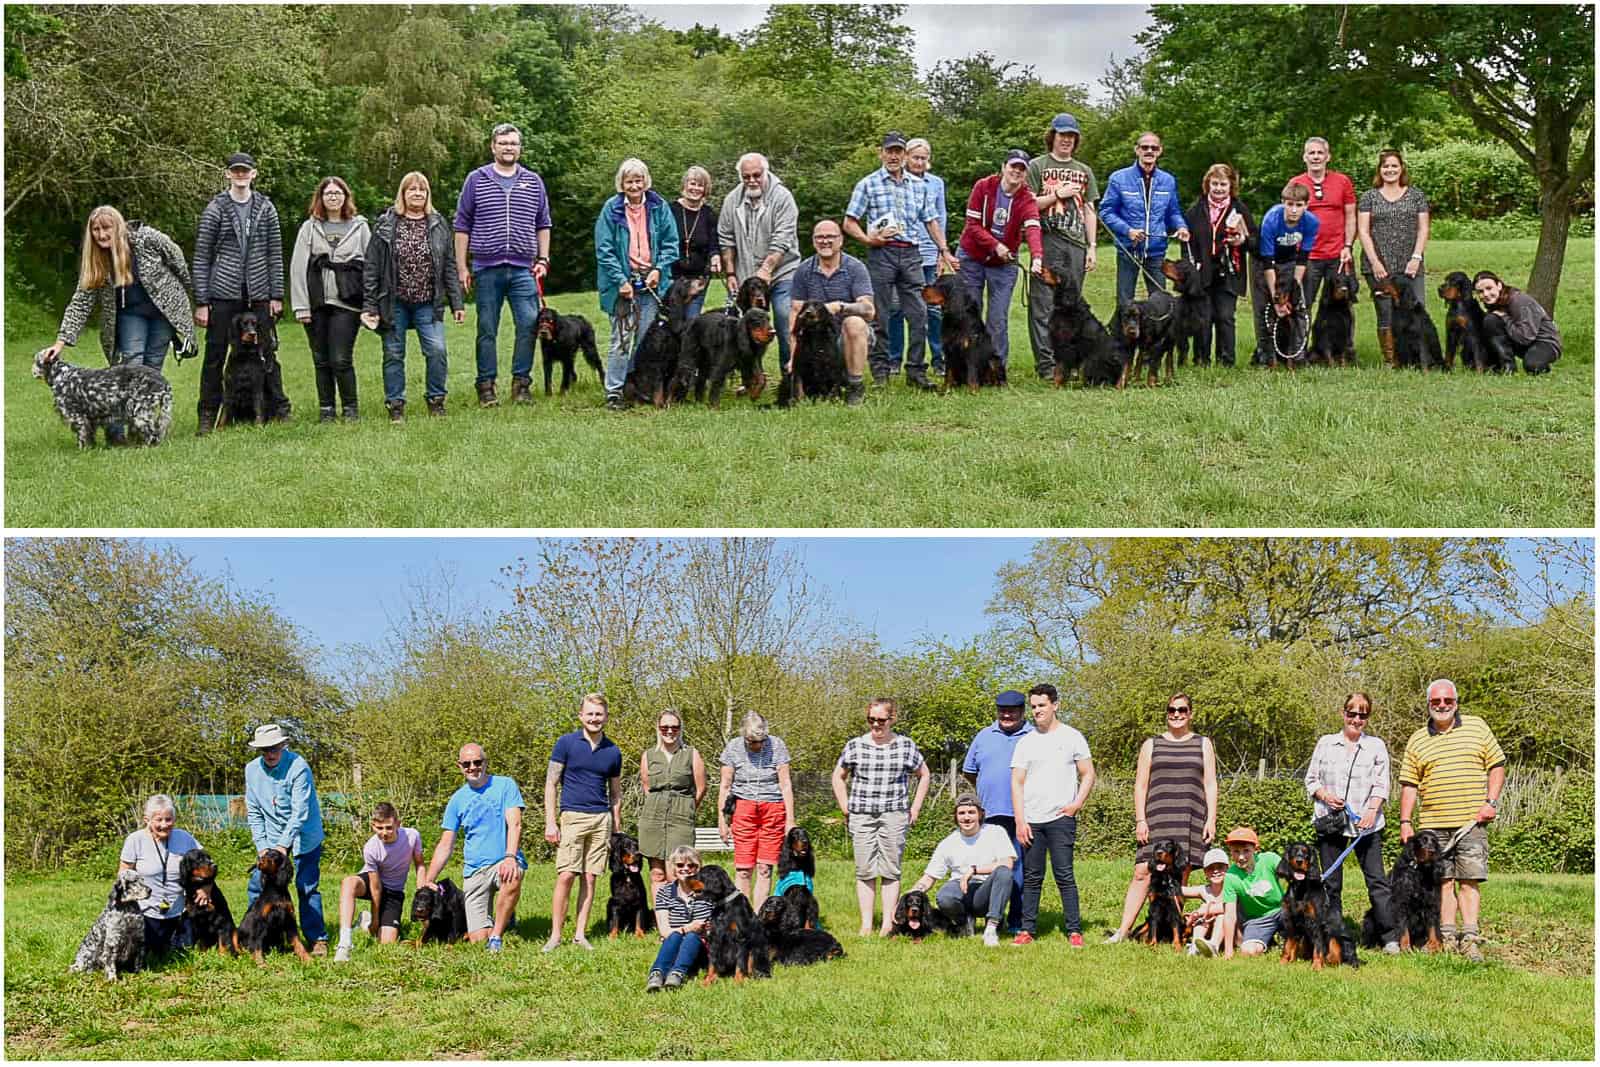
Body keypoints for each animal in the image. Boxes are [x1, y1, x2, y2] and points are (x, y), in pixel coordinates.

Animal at [33, 350, 173, 447]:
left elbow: (82, 437)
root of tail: (164, 382)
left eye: (35, 360)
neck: (61, 375)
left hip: (139, 413)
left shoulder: (77, 417)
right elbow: (90, 436)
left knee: (152, 434)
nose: (32, 370)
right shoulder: (90, 420)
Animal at [1273, 838, 1363, 972]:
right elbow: (1288, 945)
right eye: (1294, 851)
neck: (1300, 888)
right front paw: (1284, 962)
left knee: (1338, 958)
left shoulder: (1316, 922)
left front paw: (1316, 967)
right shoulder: (1290, 920)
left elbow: (1318, 947)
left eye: (1306, 852)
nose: (1299, 861)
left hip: (1335, 936)